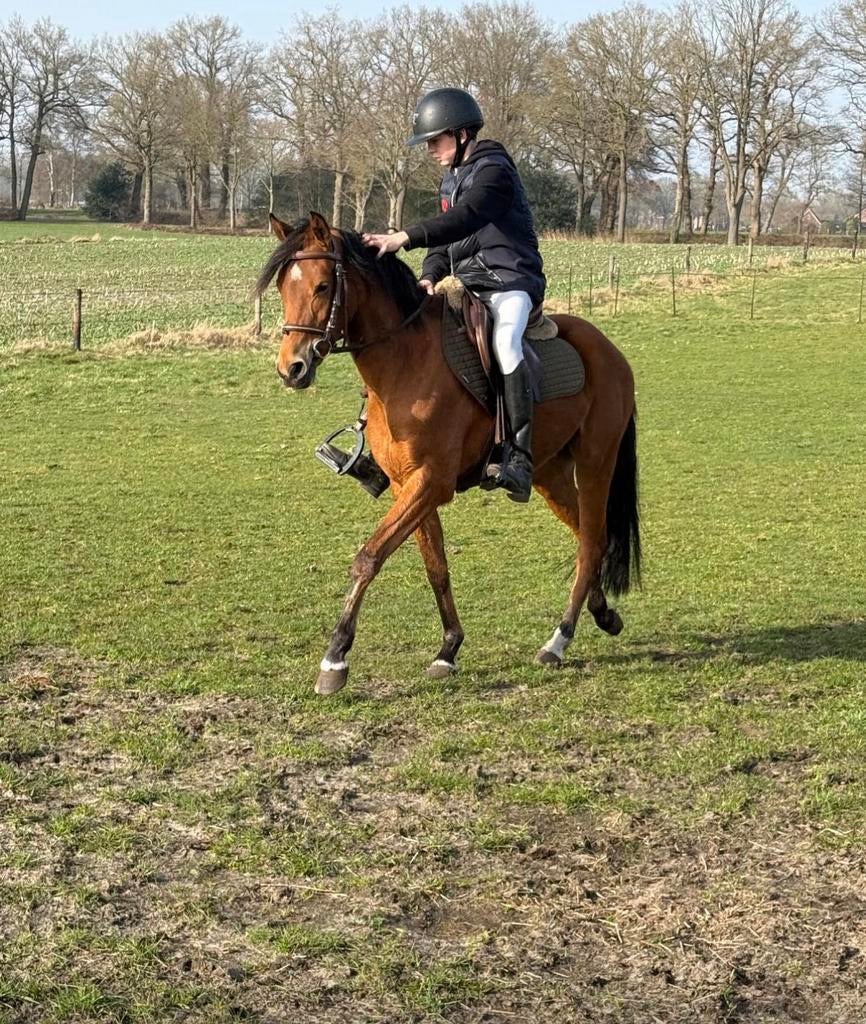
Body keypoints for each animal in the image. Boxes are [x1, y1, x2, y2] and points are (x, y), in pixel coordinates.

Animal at [256, 211, 640, 696]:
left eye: (324, 286)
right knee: (591, 536)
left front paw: (335, 659)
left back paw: (558, 640)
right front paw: (448, 649)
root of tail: (611, 351)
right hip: (550, 474)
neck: (404, 361)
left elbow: (368, 558)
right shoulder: (408, 485)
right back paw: (603, 613)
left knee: (591, 541)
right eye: (282, 287)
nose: (292, 368)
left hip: (595, 463)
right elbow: (435, 566)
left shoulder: (430, 483)